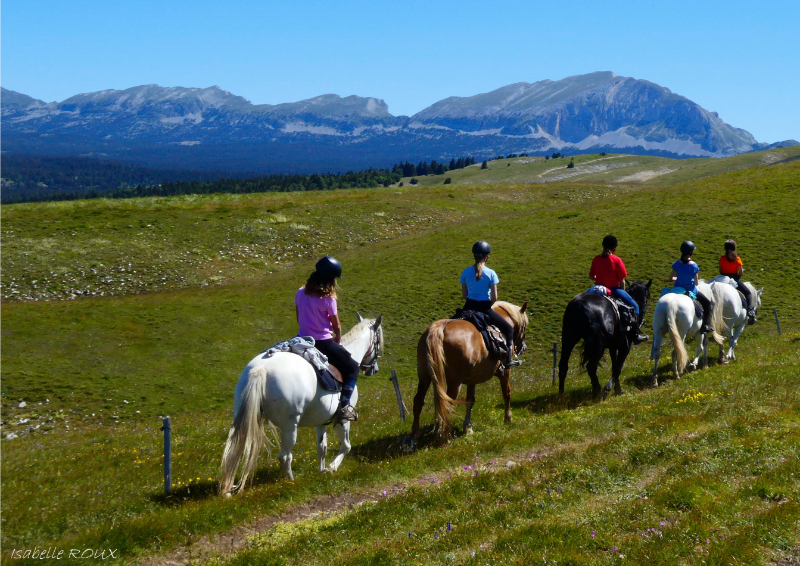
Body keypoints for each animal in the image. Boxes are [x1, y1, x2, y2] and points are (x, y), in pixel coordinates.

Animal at [217, 316, 382, 496]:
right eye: (379, 340)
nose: (374, 369)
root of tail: (261, 369)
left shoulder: (321, 421)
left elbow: (322, 447)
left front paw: (321, 470)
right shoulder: (342, 420)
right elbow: (346, 446)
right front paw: (331, 468)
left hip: (244, 418)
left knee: (235, 450)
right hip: (290, 425)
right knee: (285, 456)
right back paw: (291, 482)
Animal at [410, 302, 528, 444]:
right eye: (524, 327)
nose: (523, 347)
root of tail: (438, 329)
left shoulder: (473, 379)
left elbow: (470, 400)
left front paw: (468, 428)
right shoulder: (505, 371)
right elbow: (506, 393)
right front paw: (508, 419)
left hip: (424, 376)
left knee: (419, 401)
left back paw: (413, 437)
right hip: (454, 382)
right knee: (447, 404)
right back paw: (444, 437)